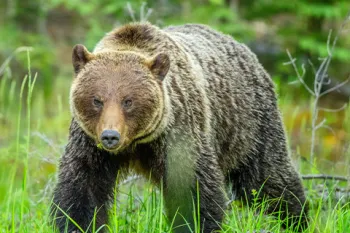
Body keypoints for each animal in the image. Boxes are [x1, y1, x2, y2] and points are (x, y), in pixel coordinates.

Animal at [50, 22, 308, 233]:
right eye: (97, 100)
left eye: (128, 101)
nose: (110, 136)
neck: (138, 143)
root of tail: (242, 48)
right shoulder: (89, 144)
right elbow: (82, 191)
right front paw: (78, 224)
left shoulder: (179, 132)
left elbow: (194, 192)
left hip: (249, 124)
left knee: (268, 179)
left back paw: (297, 220)